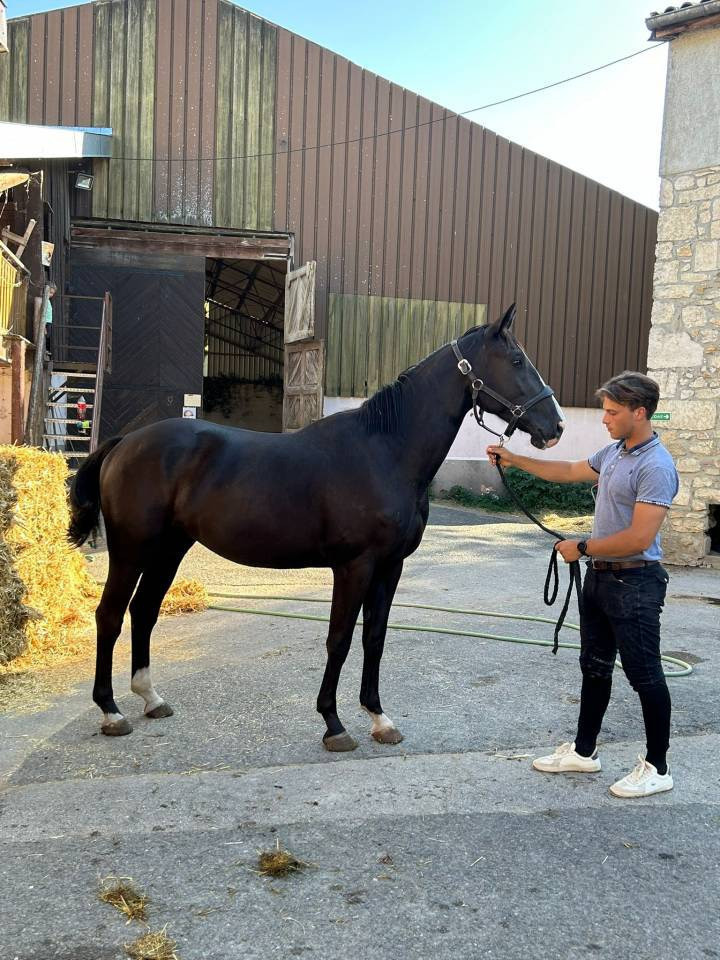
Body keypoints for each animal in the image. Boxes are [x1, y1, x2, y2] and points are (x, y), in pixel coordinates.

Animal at [69, 303, 564, 750]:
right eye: (517, 361)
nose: (555, 426)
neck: (385, 451)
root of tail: (124, 443)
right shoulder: (354, 566)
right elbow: (339, 640)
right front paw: (334, 724)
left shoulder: (390, 567)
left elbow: (374, 638)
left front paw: (379, 719)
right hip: (132, 550)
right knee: (110, 615)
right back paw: (111, 712)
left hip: (171, 548)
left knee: (144, 611)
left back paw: (151, 698)